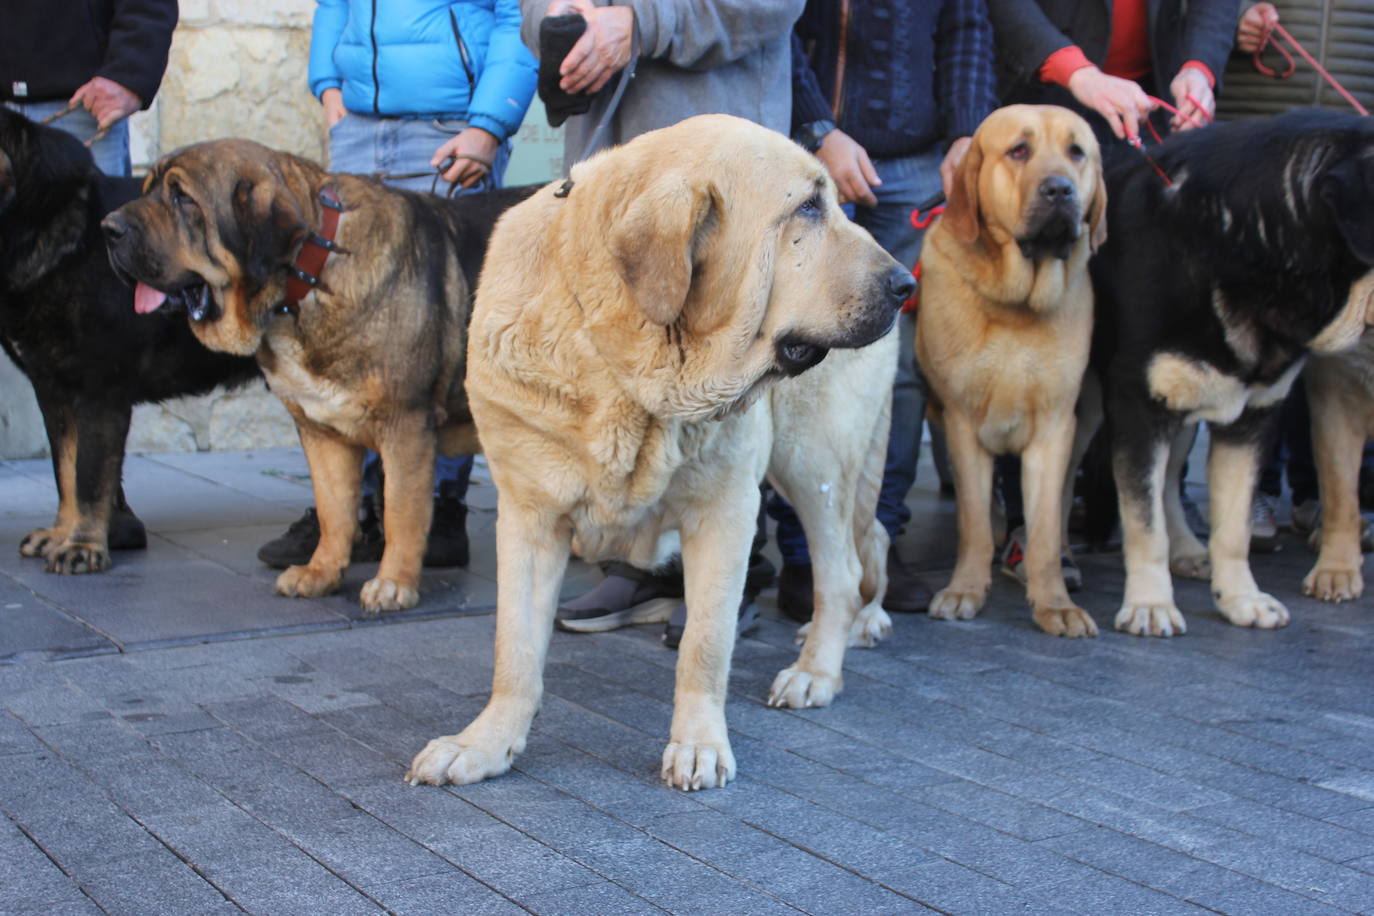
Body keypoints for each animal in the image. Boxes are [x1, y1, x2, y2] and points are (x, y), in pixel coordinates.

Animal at [0, 107, 258, 574]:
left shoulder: (99, 388)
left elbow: (88, 476)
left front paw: (82, 546)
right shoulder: (53, 388)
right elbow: (64, 468)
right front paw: (61, 534)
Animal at [406, 112, 912, 791]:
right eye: (807, 207)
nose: (905, 284)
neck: (628, 369)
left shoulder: (725, 511)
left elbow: (705, 643)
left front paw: (698, 744)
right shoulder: (529, 516)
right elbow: (514, 647)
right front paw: (485, 743)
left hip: (813, 461)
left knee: (843, 571)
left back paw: (817, 669)